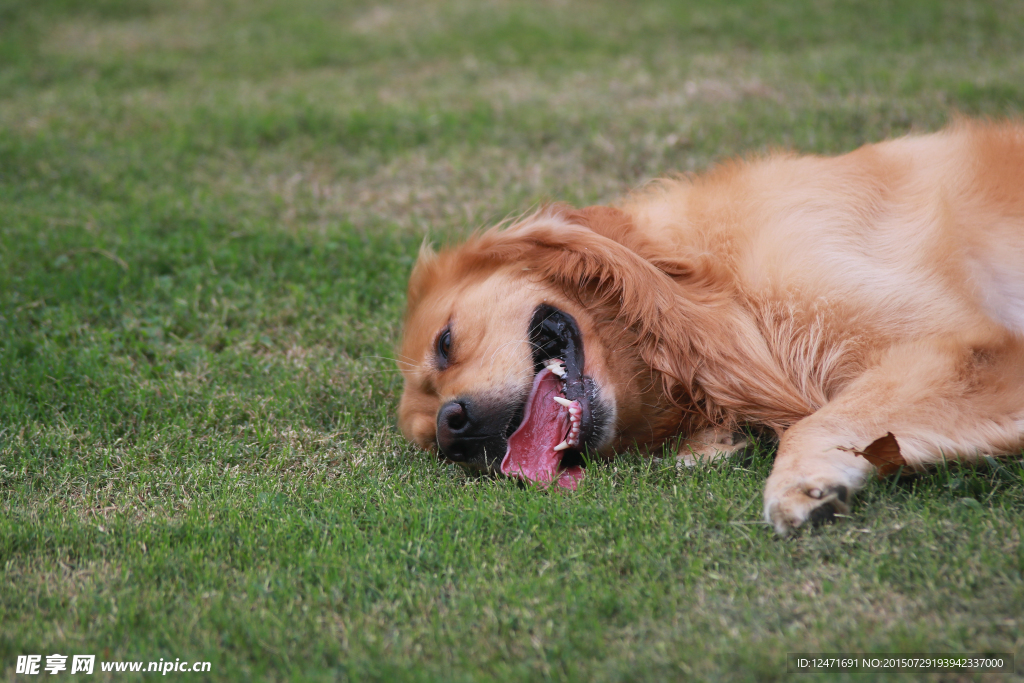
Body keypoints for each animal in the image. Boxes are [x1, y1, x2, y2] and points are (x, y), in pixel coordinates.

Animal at [395, 121, 1024, 532]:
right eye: (432, 445)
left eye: (445, 344)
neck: (702, 282)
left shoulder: (969, 344)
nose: (453, 432)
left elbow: (819, 419)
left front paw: (802, 478)